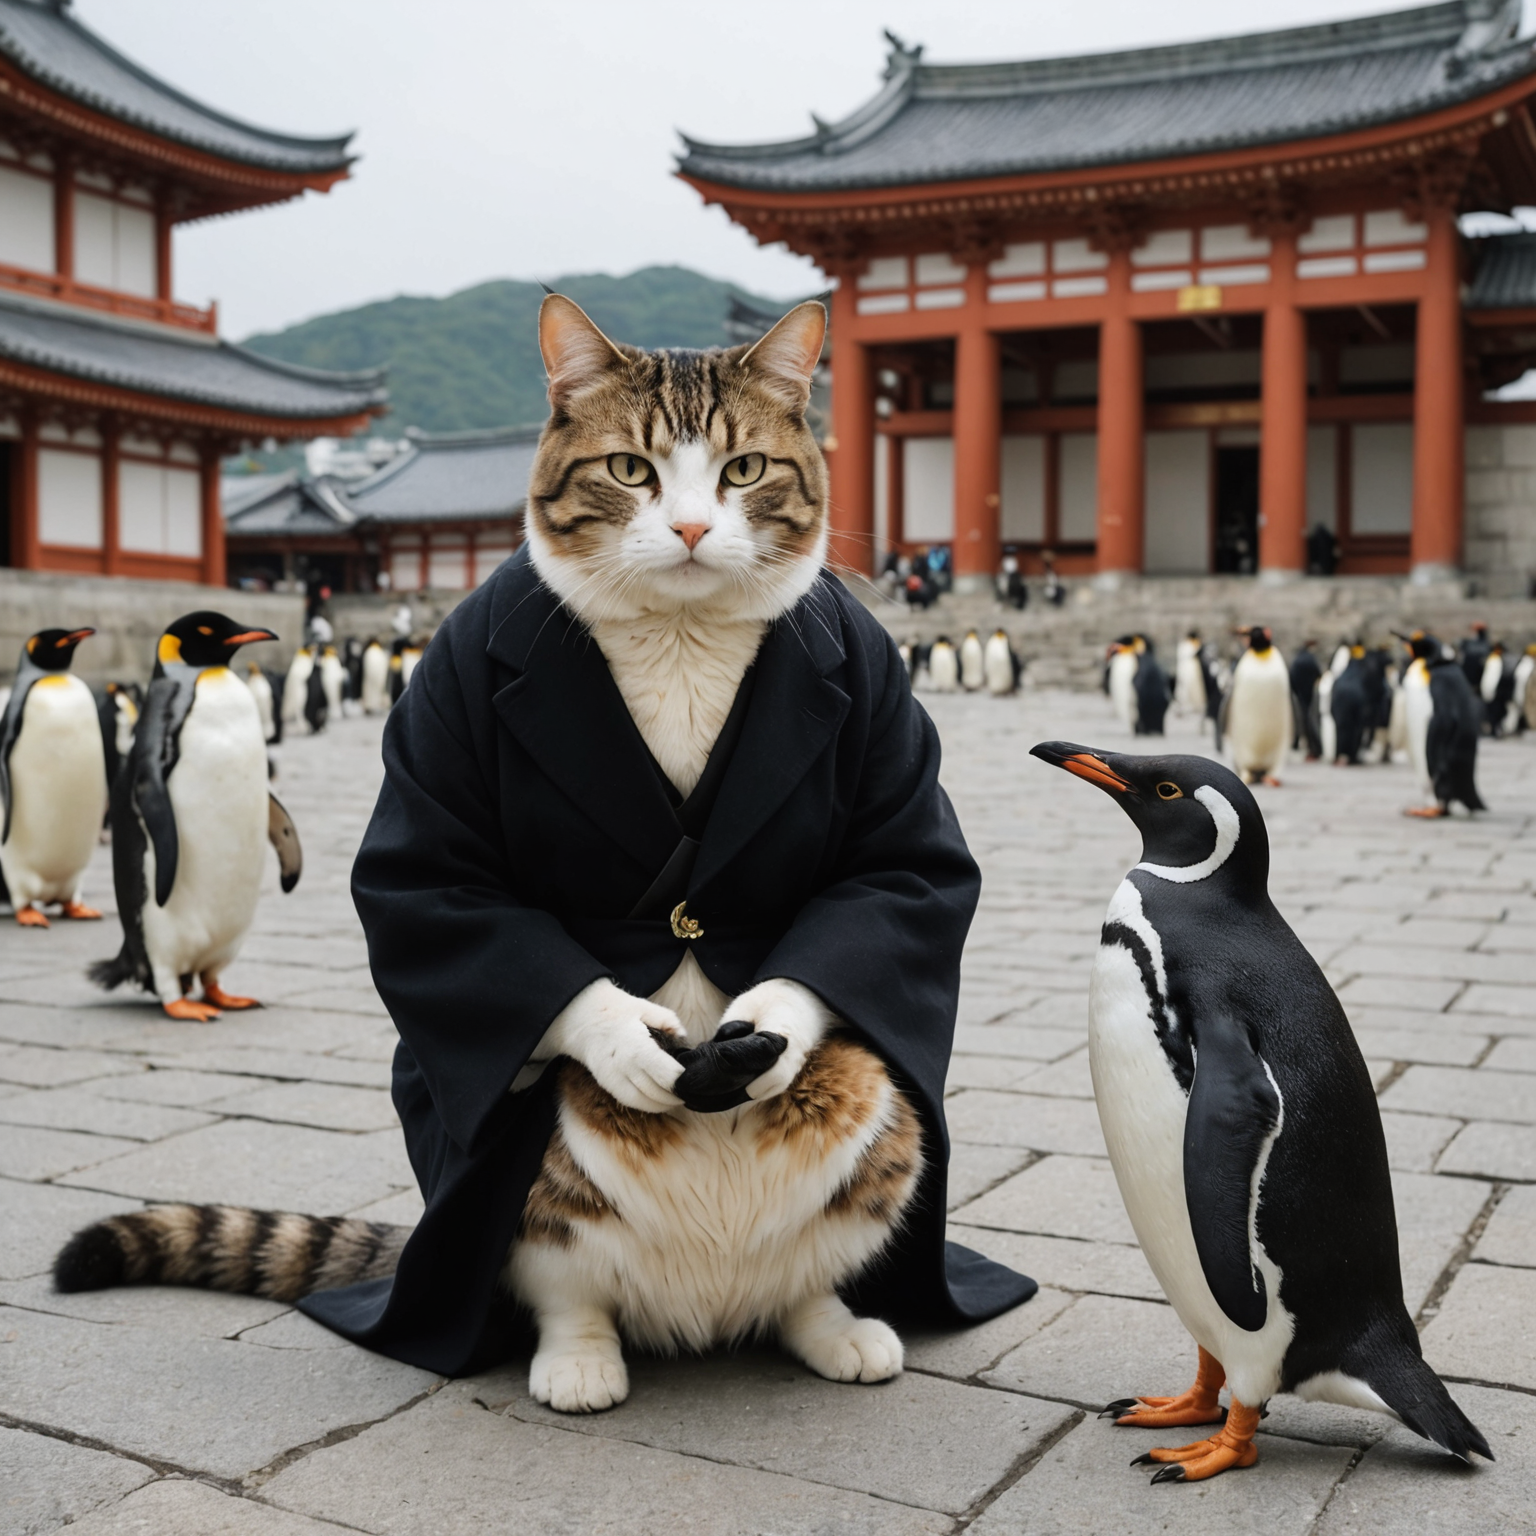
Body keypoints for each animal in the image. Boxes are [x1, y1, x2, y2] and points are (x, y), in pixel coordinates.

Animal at [54, 296, 921, 1413]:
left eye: (743, 470)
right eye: (631, 470)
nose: (691, 528)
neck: (682, 636)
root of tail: (706, 1311)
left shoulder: (884, 715)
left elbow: (891, 871)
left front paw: (768, 1025)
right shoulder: (445, 707)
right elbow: (440, 887)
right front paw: (624, 1040)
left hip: (873, 1117)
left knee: (811, 1249)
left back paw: (829, 1325)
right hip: (541, 1185)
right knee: (562, 1268)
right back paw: (582, 1357)